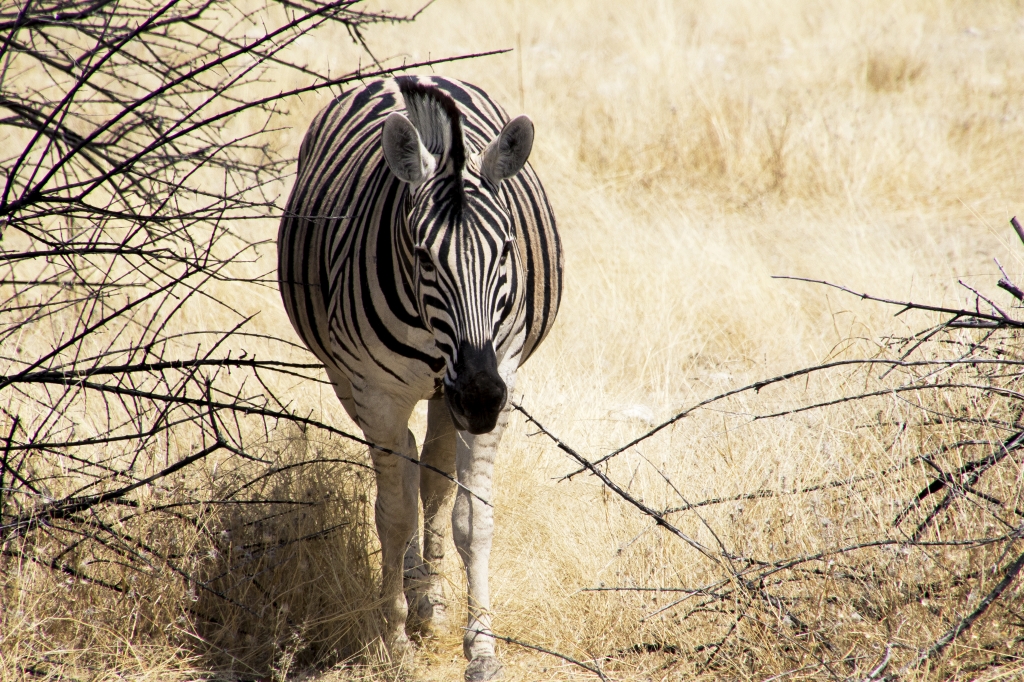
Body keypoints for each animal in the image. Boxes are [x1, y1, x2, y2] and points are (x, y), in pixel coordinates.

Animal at [277, 75, 562, 681]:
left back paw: (429, 594)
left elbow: (472, 518)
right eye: (424, 257)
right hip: (352, 379)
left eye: (507, 249)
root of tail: (412, 76)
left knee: (430, 473)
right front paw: (393, 641)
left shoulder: (500, 378)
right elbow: (393, 515)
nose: (478, 397)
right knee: (407, 468)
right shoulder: (379, 391)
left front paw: (481, 646)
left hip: (445, 396)